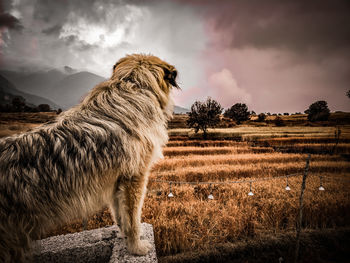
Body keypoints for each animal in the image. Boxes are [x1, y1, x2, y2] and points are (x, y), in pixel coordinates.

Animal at [0, 54, 179, 263]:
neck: (132, 85)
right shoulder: (134, 178)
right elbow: (133, 218)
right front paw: (137, 248)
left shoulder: (116, 183)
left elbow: (120, 217)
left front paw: (125, 238)